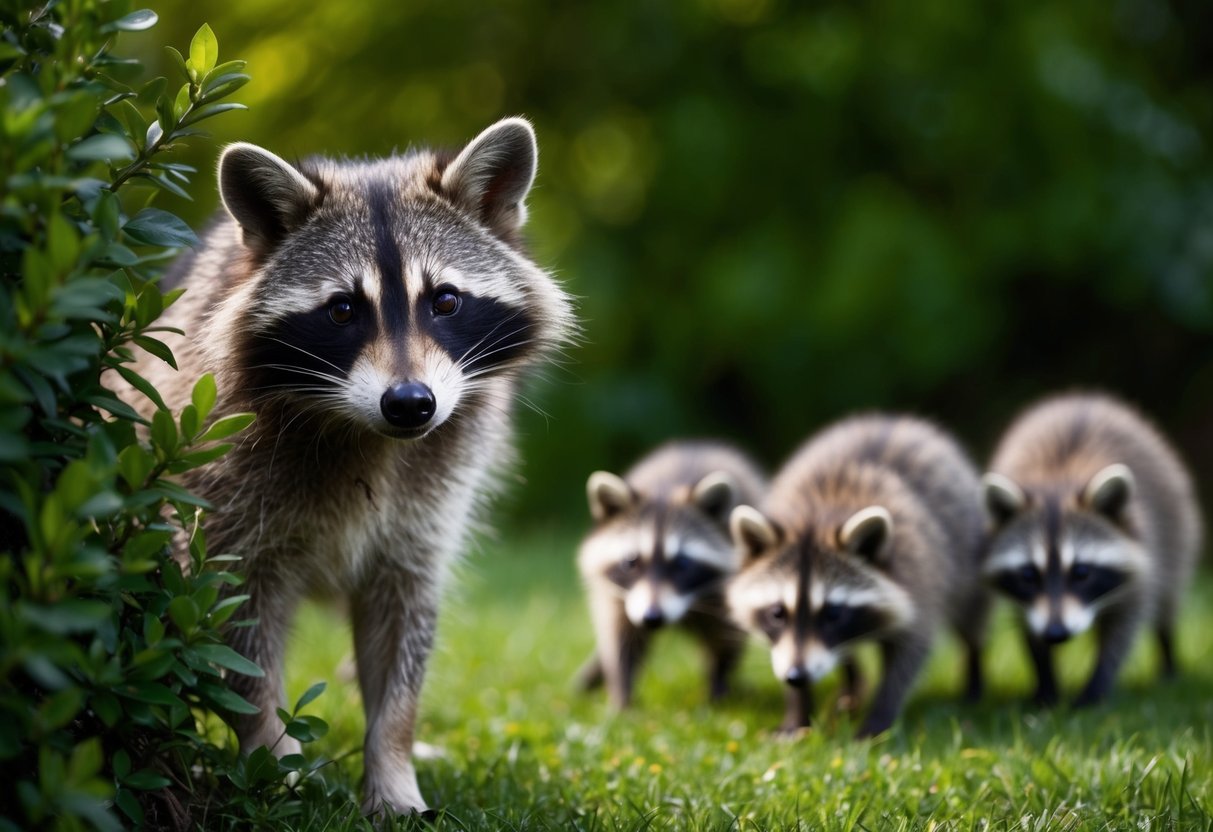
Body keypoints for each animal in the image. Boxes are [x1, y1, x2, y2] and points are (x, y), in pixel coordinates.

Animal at [125, 118, 575, 815]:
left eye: (446, 301)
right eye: (342, 309)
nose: (411, 403)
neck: (365, 430)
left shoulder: (420, 520)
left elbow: (404, 640)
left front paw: (392, 765)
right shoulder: (223, 498)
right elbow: (237, 636)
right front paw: (269, 757)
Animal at [576, 442, 765, 709]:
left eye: (682, 563)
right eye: (631, 561)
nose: (652, 617)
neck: (665, 489)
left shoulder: (726, 594)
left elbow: (725, 639)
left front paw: (717, 684)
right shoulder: (616, 595)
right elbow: (620, 638)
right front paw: (622, 693)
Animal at [727, 415, 988, 737]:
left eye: (833, 613)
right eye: (777, 613)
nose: (797, 676)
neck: (816, 518)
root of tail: (888, 419)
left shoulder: (920, 578)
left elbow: (909, 652)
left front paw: (880, 716)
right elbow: (785, 652)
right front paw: (798, 712)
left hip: (968, 550)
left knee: (971, 616)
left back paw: (973, 671)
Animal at [981, 393, 1202, 706]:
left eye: (1082, 572)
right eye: (1028, 574)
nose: (1056, 633)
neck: (1058, 480)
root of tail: (1084, 398)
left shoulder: (1144, 564)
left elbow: (1123, 628)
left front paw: (1097, 685)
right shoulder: (1026, 601)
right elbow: (1029, 626)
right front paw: (1045, 680)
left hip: (1178, 531)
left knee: (1167, 602)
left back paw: (1168, 656)